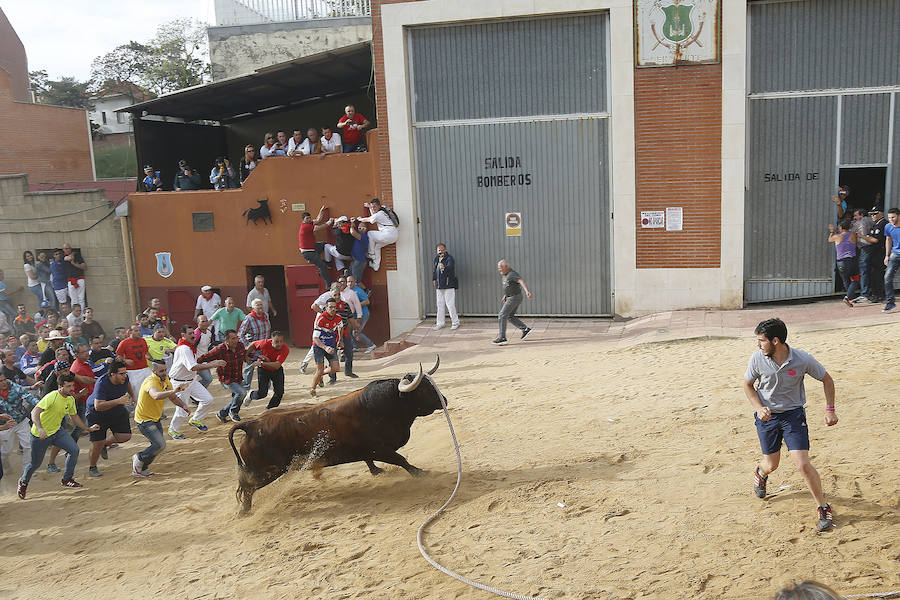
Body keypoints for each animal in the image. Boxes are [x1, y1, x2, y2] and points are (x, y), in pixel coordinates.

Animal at [230, 354, 444, 512]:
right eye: (423, 390)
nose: (445, 400)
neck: (388, 405)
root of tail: (252, 424)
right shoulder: (380, 449)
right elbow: (401, 460)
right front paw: (420, 473)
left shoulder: (369, 450)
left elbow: (370, 460)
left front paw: (377, 471)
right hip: (268, 471)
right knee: (248, 488)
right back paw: (244, 511)